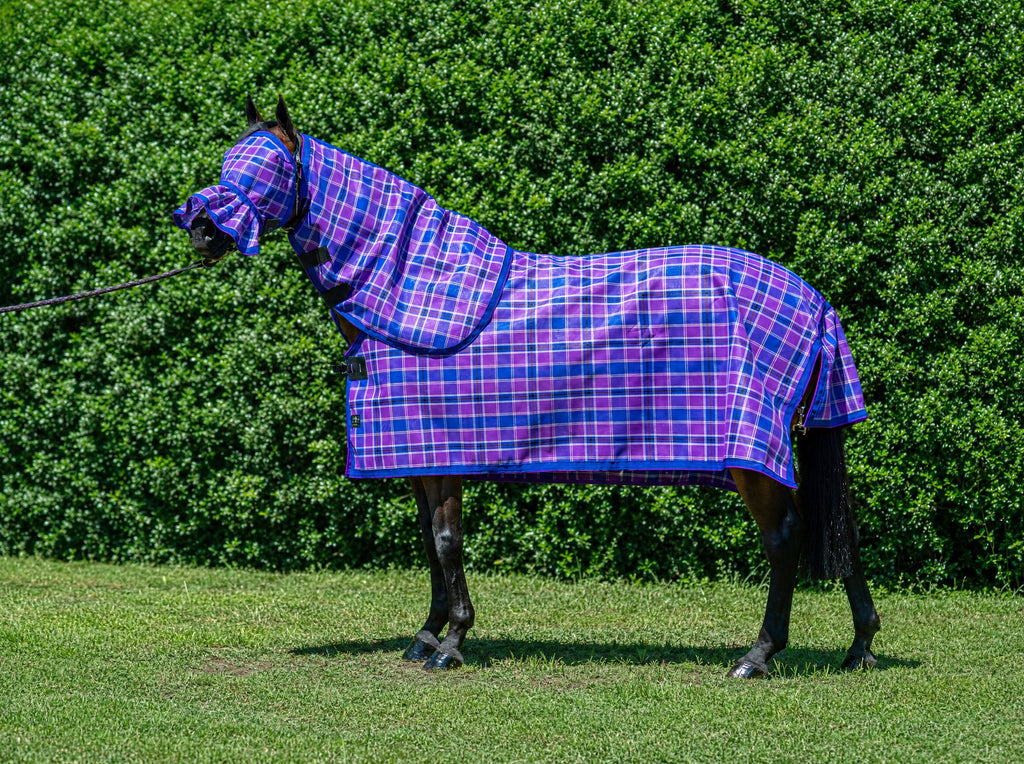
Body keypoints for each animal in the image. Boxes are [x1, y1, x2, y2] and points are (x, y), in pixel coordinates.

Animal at [174, 96, 881, 678]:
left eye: (266, 168)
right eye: (228, 161)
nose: (202, 230)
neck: (408, 288)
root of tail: (812, 300)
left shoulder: (443, 454)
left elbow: (447, 542)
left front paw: (451, 645)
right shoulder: (422, 457)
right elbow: (430, 544)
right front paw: (427, 636)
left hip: (751, 456)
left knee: (784, 538)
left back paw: (758, 655)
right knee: (841, 528)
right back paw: (860, 647)